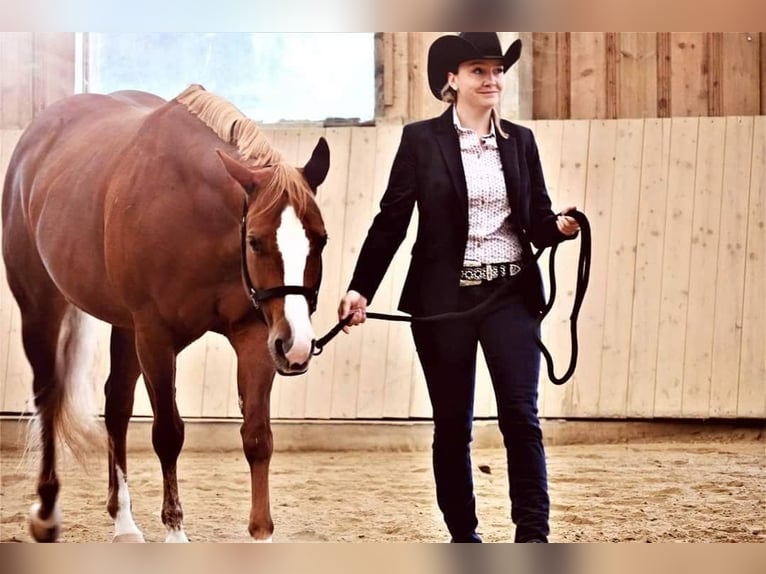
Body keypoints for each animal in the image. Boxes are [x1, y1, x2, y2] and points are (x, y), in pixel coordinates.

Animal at [1, 84, 330, 542]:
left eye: (321, 239)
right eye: (255, 240)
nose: (297, 346)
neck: (193, 212)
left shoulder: (253, 336)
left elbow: (257, 436)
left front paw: (261, 533)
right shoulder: (156, 337)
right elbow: (168, 433)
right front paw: (175, 530)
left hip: (125, 327)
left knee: (116, 407)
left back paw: (123, 522)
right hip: (42, 307)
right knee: (49, 396)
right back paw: (47, 513)